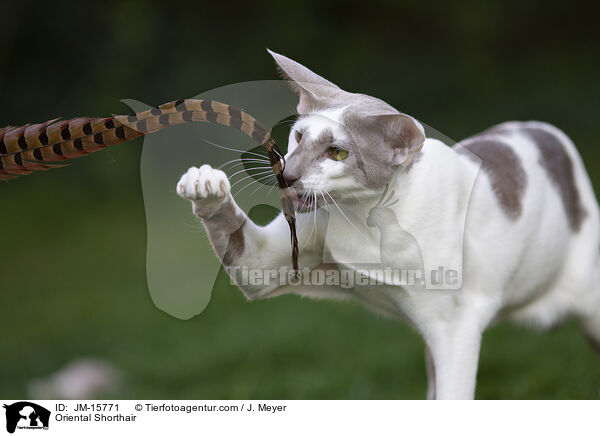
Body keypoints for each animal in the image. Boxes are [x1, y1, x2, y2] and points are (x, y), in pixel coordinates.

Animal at [175, 50, 600, 398]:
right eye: (298, 136)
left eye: (337, 153)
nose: (288, 175)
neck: (367, 221)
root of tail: (541, 128)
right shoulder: (265, 263)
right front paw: (205, 184)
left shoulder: (456, 329)